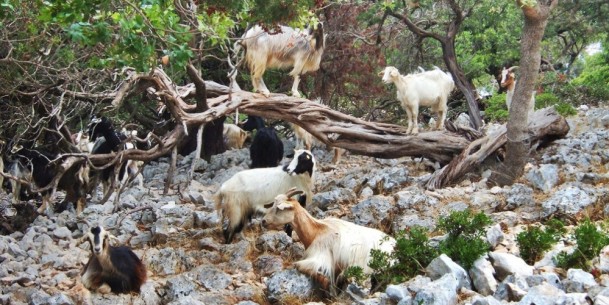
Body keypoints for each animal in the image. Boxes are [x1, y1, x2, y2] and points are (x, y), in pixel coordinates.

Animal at [260, 188, 394, 292]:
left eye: (279, 208)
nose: (263, 221)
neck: (316, 232)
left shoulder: (320, 257)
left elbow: (298, 265)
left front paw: (326, 284)